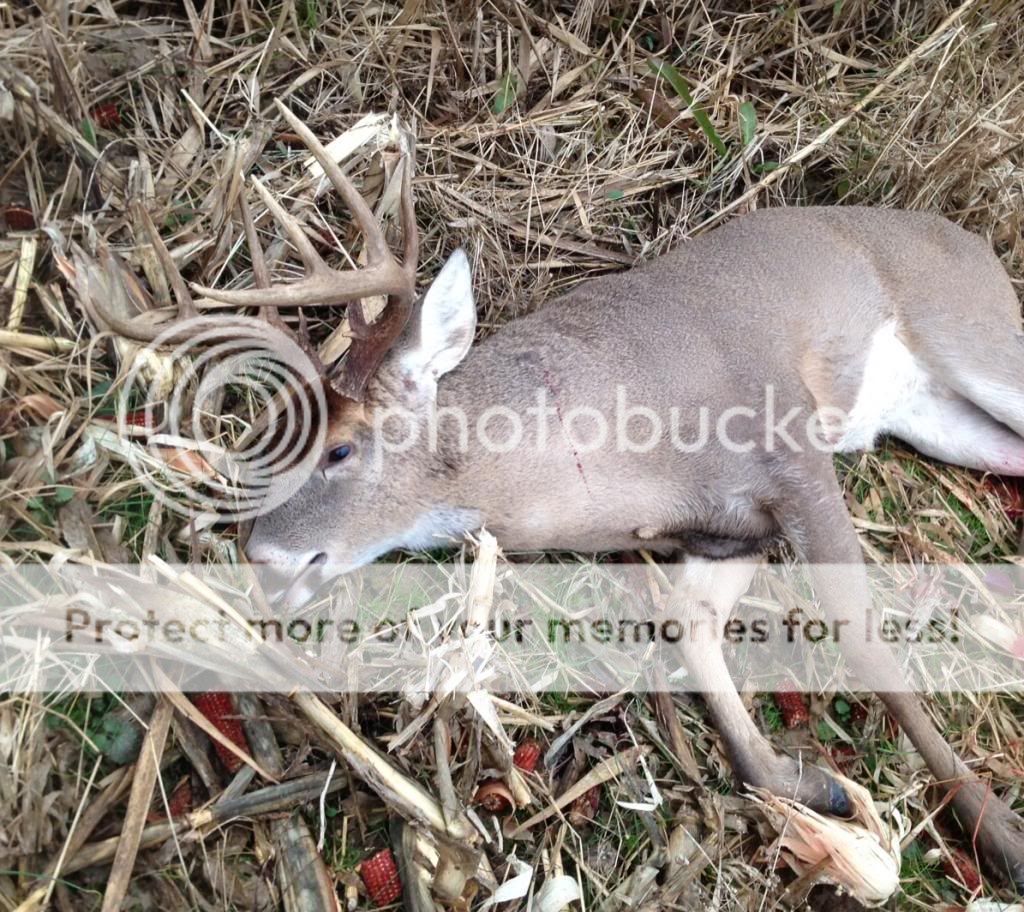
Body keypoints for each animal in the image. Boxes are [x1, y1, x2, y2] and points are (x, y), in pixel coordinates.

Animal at [96, 102, 1024, 890]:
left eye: (340, 448)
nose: (259, 554)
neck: (626, 448)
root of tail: (975, 239)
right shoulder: (725, 535)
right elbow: (690, 636)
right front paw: (816, 788)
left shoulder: (792, 453)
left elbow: (866, 645)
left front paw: (998, 832)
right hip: (934, 414)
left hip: (975, 336)